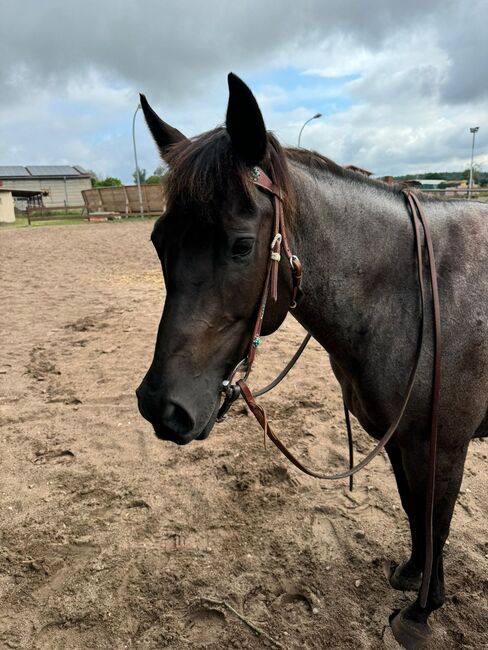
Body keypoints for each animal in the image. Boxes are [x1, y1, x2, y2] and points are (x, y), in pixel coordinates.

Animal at [136, 73, 488, 644]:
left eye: (241, 245)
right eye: (158, 240)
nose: (161, 406)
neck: (416, 295)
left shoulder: (444, 444)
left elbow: (436, 521)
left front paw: (420, 613)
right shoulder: (398, 439)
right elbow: (414, 510)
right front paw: (412, 575)